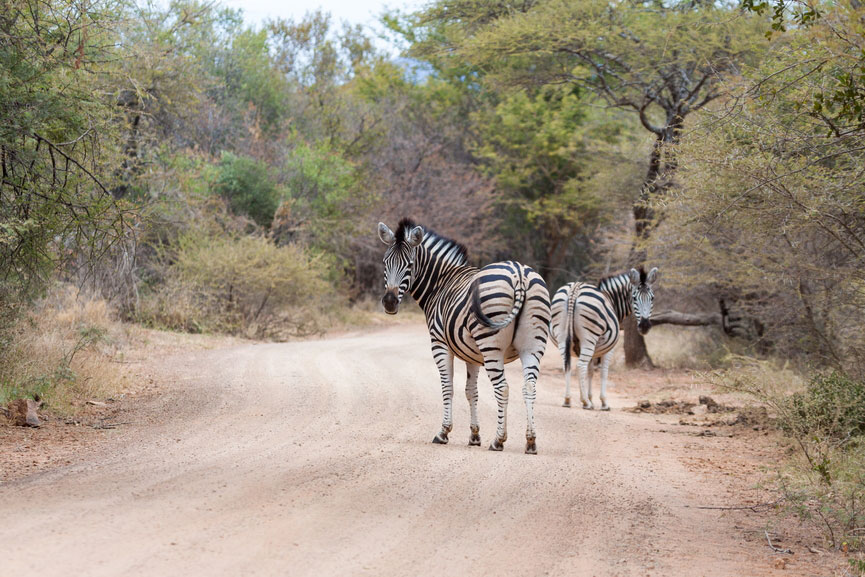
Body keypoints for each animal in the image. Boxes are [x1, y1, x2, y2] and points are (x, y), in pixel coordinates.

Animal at [376, 218, 552, 452]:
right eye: (385, 263)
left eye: (410, 265)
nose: (389, 302)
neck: (440, 283)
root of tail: (519, 274)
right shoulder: (472, 354)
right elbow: (471, 391)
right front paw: (474, 435)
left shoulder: (439, 344)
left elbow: (447, 387)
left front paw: (443, 432)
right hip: (533, 346)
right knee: (529, 387)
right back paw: (531, 441)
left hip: (491, 346)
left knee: (503, 388)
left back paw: (498, 440)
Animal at [552, 268, 660, 410]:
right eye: (634, 298)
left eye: (652, 298)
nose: (645, 326)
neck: (612, 300)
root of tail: (575, 289)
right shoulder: (608, 349)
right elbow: (603, 372)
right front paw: (602, 402)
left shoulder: (593, 349)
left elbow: (590, 371)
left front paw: (590, 398)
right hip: (589, 338)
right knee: (580, 366)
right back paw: (585, 403)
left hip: (563, 337)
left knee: (567, 365)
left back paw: (567, 400)